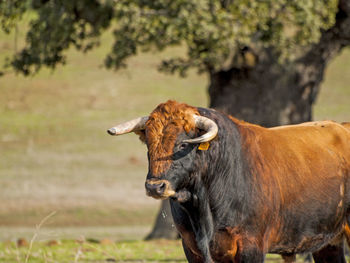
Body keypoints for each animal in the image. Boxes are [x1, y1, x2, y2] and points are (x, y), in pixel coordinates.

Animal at [107, 101, 350, 263]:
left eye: (183, 144)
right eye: (148, 144)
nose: (155, 187)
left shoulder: (251, 246)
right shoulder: (192, 247)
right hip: (328, 241)